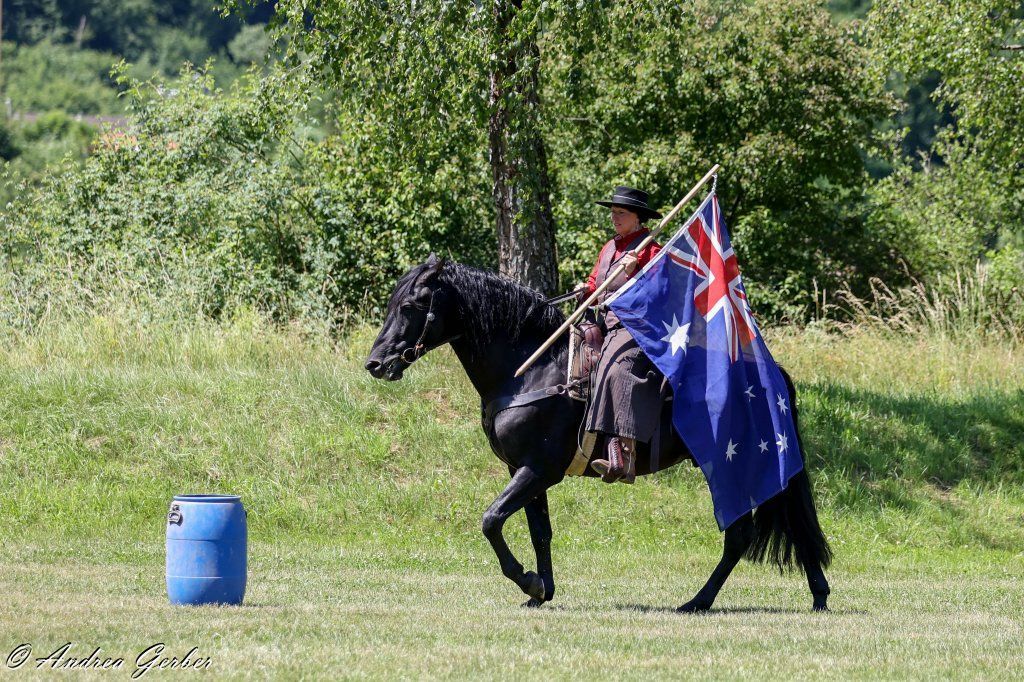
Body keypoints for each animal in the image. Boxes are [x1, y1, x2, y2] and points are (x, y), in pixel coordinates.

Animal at [365, 254, 832, 611]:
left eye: (410, 305)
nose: (376, 363)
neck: (531, 367)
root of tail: (770, 371)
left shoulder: (538, 470)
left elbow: (491, 520)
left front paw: (528, 581)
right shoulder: (525, 470)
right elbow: (539, 530)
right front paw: (541, 592)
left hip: (730, 464)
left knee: (741, 535)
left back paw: (699, 602)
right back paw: (815, 595)